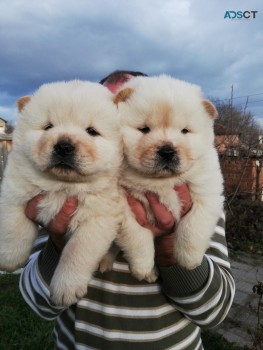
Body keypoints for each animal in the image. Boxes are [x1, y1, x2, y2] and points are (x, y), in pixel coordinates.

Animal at [0, 80, 123, 304]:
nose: (64, 146)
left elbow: (77, 251)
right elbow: (14, 226)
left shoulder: (99, 217)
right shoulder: (16, 189)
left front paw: (65, 289)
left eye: (91, 131)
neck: (62, 186)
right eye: (48, 127)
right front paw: (10, 259)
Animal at [112, 74, 224, 282]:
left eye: (185, 131)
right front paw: (142, 268)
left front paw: (189, 261)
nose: (167, 151)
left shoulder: (206, 192)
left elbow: (192, 226)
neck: (161, 181)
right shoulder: (122, 203)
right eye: (144, 129)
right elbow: (137, 236)